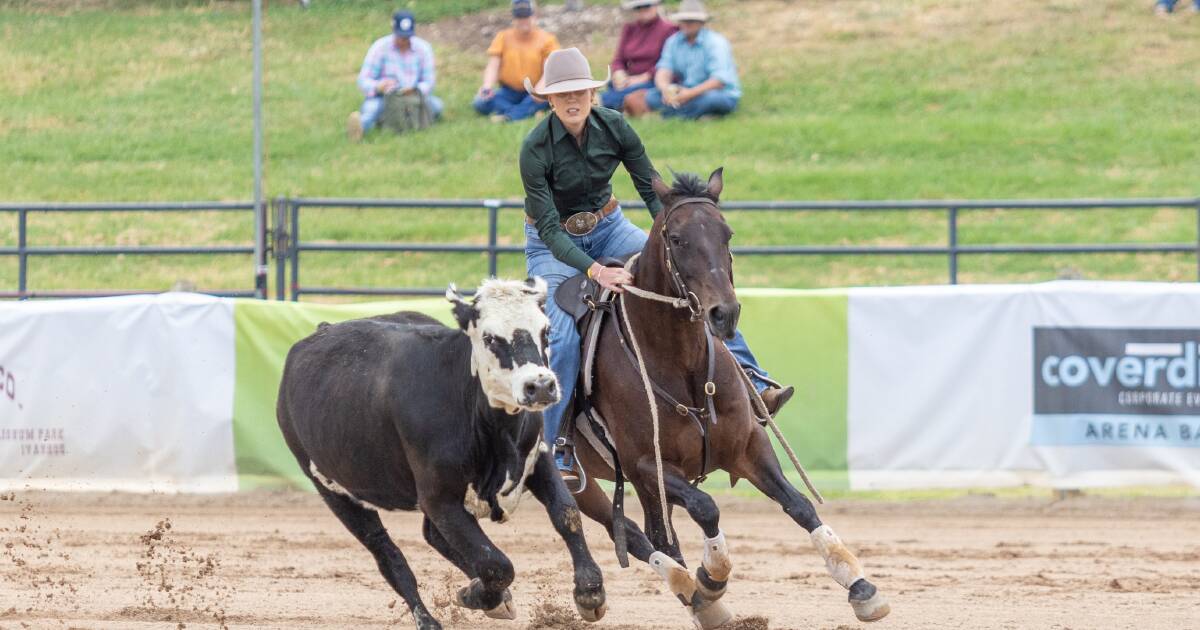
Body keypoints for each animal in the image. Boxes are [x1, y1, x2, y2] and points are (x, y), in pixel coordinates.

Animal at [276, 277, 604, 628]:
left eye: (545, 331)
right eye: (489, 337)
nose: (540, 385)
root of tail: (321, 331)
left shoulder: (537, 458)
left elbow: (566, 513)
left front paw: (590, 592)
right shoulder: (439, 498)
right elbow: (496, 563)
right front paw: (477, 595)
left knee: (431, 535)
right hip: (334, 490)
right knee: (388, 554)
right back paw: (428, 618)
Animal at [571, 169, 892, 624]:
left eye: (727, 233)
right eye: (677, 239)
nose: (724, 313)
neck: (680, 366)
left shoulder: (748, 445)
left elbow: (799, 504)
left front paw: (860, 585)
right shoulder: (647, 465)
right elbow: (707, 507)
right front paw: (712, 576)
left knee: (646, 534)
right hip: (571, 473)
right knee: (623, 530)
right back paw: (611, 592)